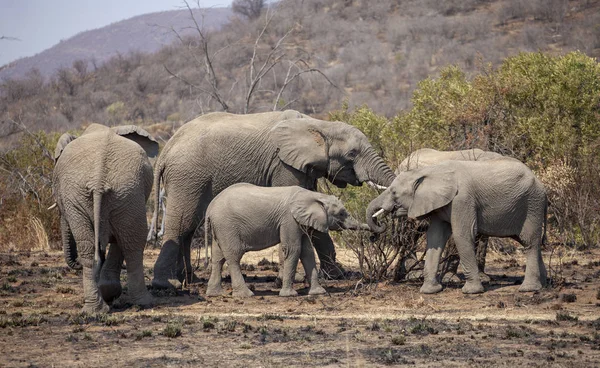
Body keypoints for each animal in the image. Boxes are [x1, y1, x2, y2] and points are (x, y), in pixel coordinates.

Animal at [53, 123, 158, 314]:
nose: (75, 263)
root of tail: (99, 179)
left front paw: (108, 292)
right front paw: (108, 292)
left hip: (116, 195)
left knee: (119, 244)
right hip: (120, 194)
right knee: (129, 243)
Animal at [204, 183, 368, 298]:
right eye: (341, 213)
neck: (313, 195)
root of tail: (210, 207)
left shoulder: (301, 222)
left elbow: (307, 252)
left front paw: (318, 292)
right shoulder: (289, 220)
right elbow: (293, 250)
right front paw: (289, 295)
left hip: (220, 227)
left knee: (218, 258)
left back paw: (215, 294)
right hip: (227, 226)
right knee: (233, 256)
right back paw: (246, 295)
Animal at [366, 160, 548, 294]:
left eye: (394, 192)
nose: (374, 235)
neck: (429, 171)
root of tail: (542, 185)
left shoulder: (463, 200)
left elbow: (463, 235)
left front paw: (471, 292)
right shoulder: (438, 204)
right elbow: (435, 238)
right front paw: (430, 291)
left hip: (532, 204)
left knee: (530, 242)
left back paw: (528, 289)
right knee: (531, 242)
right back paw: (545, 284)